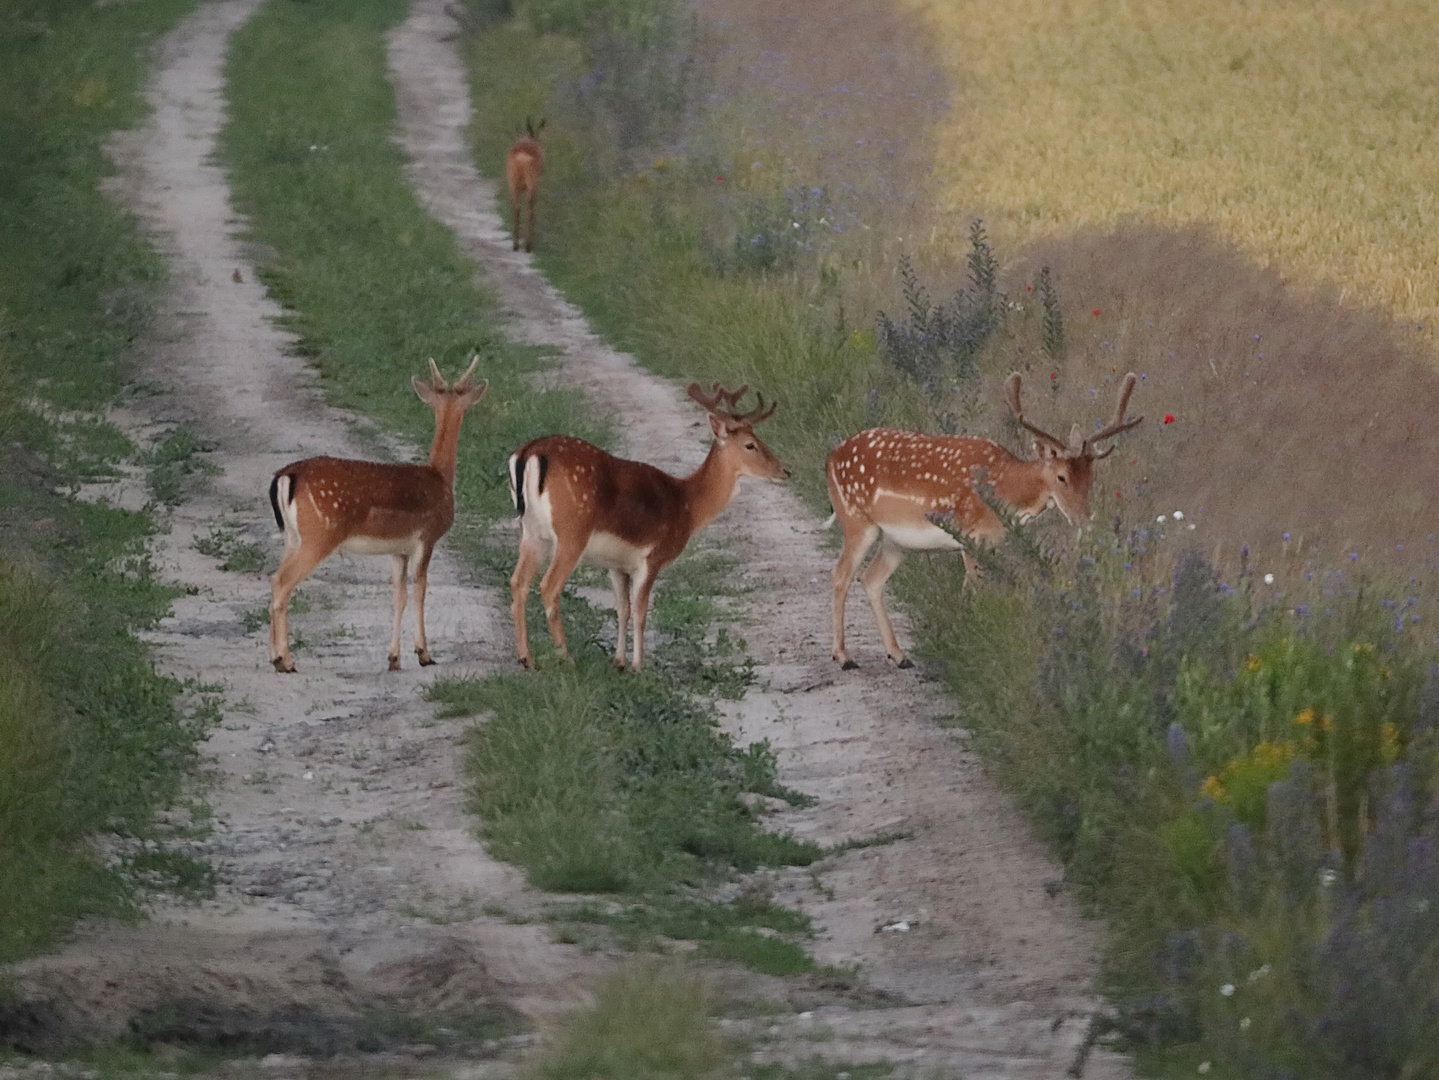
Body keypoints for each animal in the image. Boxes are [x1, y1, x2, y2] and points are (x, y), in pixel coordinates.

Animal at [269, 359, 489, 673]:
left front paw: (394, 657)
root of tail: (286, 476)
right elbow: (420, 591)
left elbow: (399, 596)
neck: (440, 478)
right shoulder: (427, 537)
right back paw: (284, 660)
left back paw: (275, 656)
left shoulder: (398, 549)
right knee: (282, 582)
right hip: (319, 534)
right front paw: (424, 653)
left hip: (293, 537)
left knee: (275, 579)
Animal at [503, 117, 541, 253]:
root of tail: (522, 157)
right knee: (530, 209)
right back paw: (528, 246)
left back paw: (516, 245)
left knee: (517, 208)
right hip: (531, 184)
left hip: (513, 184)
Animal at [509, 385, 788, 673]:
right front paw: (638, 665)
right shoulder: (652, 556)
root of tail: (528, 453)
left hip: (532, 532)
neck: (686, 507)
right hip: (572, 531)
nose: (784, 470)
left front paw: (619, 661)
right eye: (750, 444)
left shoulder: (617, 564)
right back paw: (566, 657)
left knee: (518, 581)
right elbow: (641, 612)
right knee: (548, 586)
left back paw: (526, 658)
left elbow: (623, 609)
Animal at [828, 376, 1139, 673]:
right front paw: (963, 643)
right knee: (841, 574)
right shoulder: (968, 532)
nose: (1083, 518)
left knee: (871, 579)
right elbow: (972, 588)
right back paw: (843, 657)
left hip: (896, 541)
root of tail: (831, 457)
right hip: (856, 519)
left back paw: (899, 655)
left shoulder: (991, 541)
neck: (1005, 489)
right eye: (1061, 477)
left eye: (1091, 477)